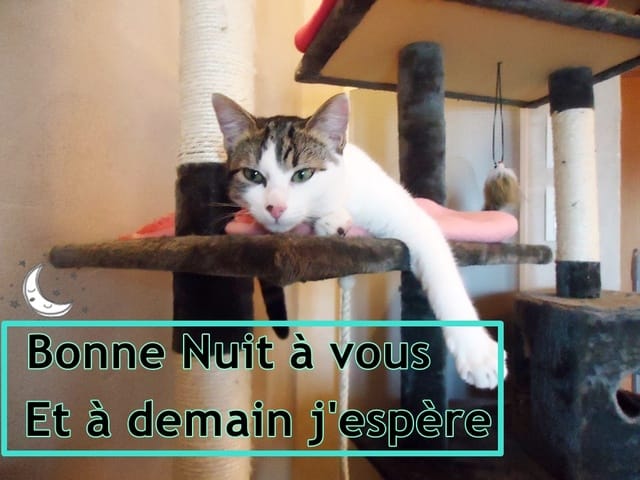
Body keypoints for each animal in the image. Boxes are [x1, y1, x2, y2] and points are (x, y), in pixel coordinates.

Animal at [212, 92, 506, 389]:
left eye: (303, 174)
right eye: (252, 175)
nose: (275, 208)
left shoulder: (407, 215)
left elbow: (441, 269)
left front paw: (479, 354)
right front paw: (330, 221)